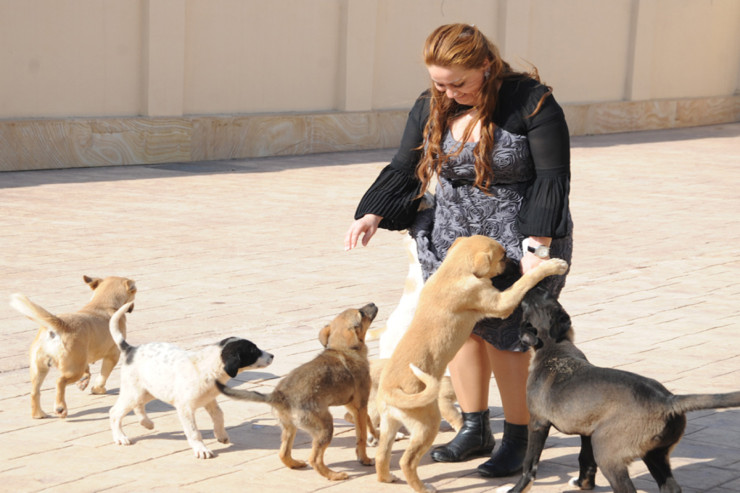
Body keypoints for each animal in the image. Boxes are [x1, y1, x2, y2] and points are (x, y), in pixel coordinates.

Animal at [10, 274, 137, 418]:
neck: (103, 304)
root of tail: (61, 325)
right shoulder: (112, 356)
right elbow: (103, 375)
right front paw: (98, 389)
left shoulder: (83, 358)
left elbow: (88, 369)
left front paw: (85, 381)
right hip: (73, 370)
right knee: (60, 381)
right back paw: (60, 407)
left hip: (39, 369)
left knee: (34, 392)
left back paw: (38, 413)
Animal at [108, 300, 274, 458]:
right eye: (253, 351)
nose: (272, 356)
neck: (208, 367)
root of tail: (131, 349)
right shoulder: (185, 408)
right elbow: (194, 432)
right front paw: (201, 449)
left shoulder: (209, 400)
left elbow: (219, 416)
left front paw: (221, 435)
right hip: (135, 392)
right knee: (115, 412)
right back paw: (120, 437)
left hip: (150, 389)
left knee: (138, 405)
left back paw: (146, 423)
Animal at [214, 302, 376, 478]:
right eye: (361, 313)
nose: (372, 303)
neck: (342, 349)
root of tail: (278, 396)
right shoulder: (360, 405)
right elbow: (362, 435)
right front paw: (365, 458)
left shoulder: (353, 405)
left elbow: (368, 421)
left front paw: (375, 436)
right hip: (325, 426)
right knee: (315, 459)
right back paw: (334, 475)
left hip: (289, 427)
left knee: (283, 454)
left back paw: (296, 464)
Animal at [500, 284, 740, 492]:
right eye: (547, 297)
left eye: (527, 305)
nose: (535, 285)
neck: (555, 347)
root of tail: (667, 400)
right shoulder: (587, 430)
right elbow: (585, 460)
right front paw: (583, 484)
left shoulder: (538, 422)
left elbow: (529, 465)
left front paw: (516, 489)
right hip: (654, 454)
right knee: (671, 487)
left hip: (607, 452)